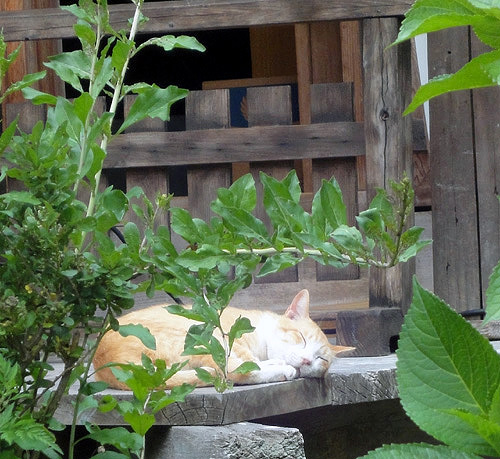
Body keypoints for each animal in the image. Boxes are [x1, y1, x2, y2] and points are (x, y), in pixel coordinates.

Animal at [93, 290, 352, 390]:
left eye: (321, 359)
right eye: (301, 338)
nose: (307, 361)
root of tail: (103, 362)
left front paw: (276, 363)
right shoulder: (233, 340)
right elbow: (246, 364)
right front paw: (280, 366)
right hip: (203, 337)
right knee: (231, 373)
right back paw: (282, 371)